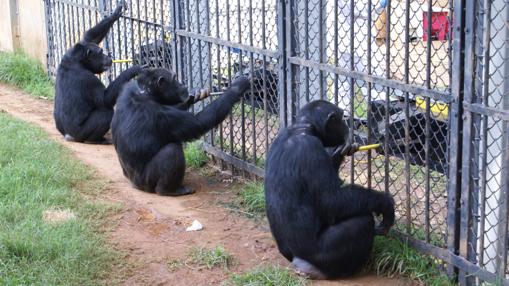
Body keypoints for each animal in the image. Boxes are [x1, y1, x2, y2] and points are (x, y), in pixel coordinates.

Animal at [53, 1, 142, 144]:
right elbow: (105, 98)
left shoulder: (71, 50)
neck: (78, 61)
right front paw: (133, 69)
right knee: (105, 113)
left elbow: (89, 37)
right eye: (100, 53)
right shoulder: (87, 79)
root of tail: (68, 136)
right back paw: (97, 140)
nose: (107, 56)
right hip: (80, 134)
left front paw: (115, 13)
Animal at [111, 68, 250, 196]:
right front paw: (237, 87)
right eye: (174, 78)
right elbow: (198, 123)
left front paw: (195, 94)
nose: (182, 84)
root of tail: (135, 185)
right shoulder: (160, 114)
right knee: (171, 151)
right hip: (147, 181)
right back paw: (170, 190)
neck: (147, 94)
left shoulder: (128, 88)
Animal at [264, 100, 394, 280]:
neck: (304, 128)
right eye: (341, 117)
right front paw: (386, 203)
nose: (347, 126)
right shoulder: (312, 150)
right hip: (321, 253)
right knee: (363, 221)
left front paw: (339, 152)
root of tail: (296, 259)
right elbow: (332, 201)